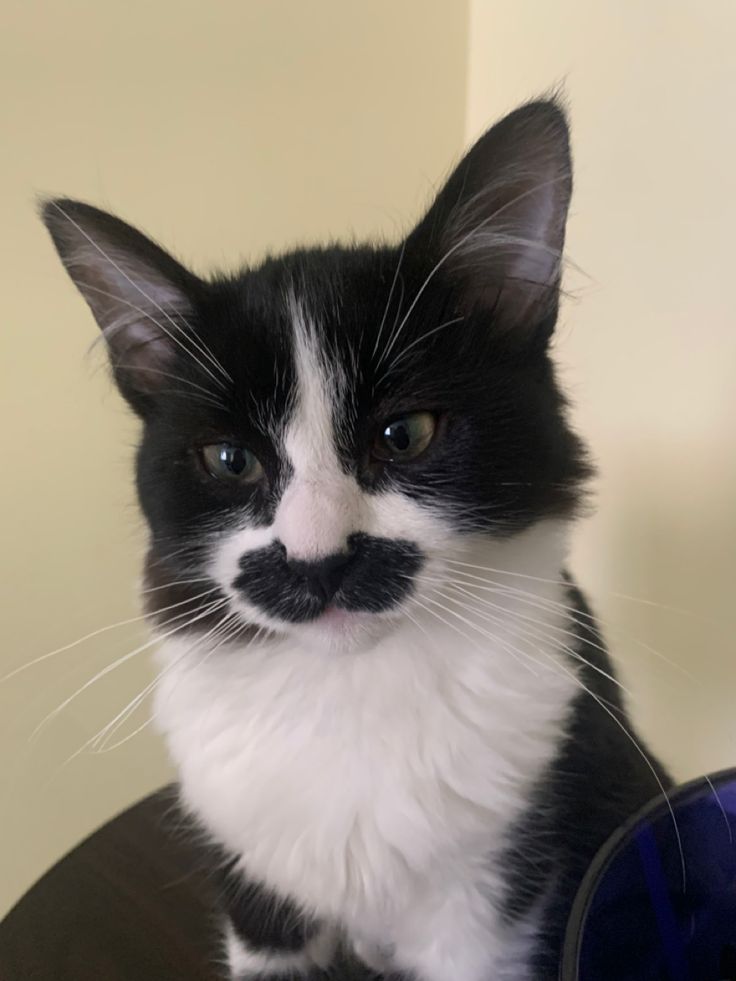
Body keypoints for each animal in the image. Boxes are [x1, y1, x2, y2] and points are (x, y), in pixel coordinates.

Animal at [43, 99, 668, 980]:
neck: (345, 690)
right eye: (230, 460)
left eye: (404, 434)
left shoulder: (494, 895)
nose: (319, 561)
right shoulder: (255, 876)